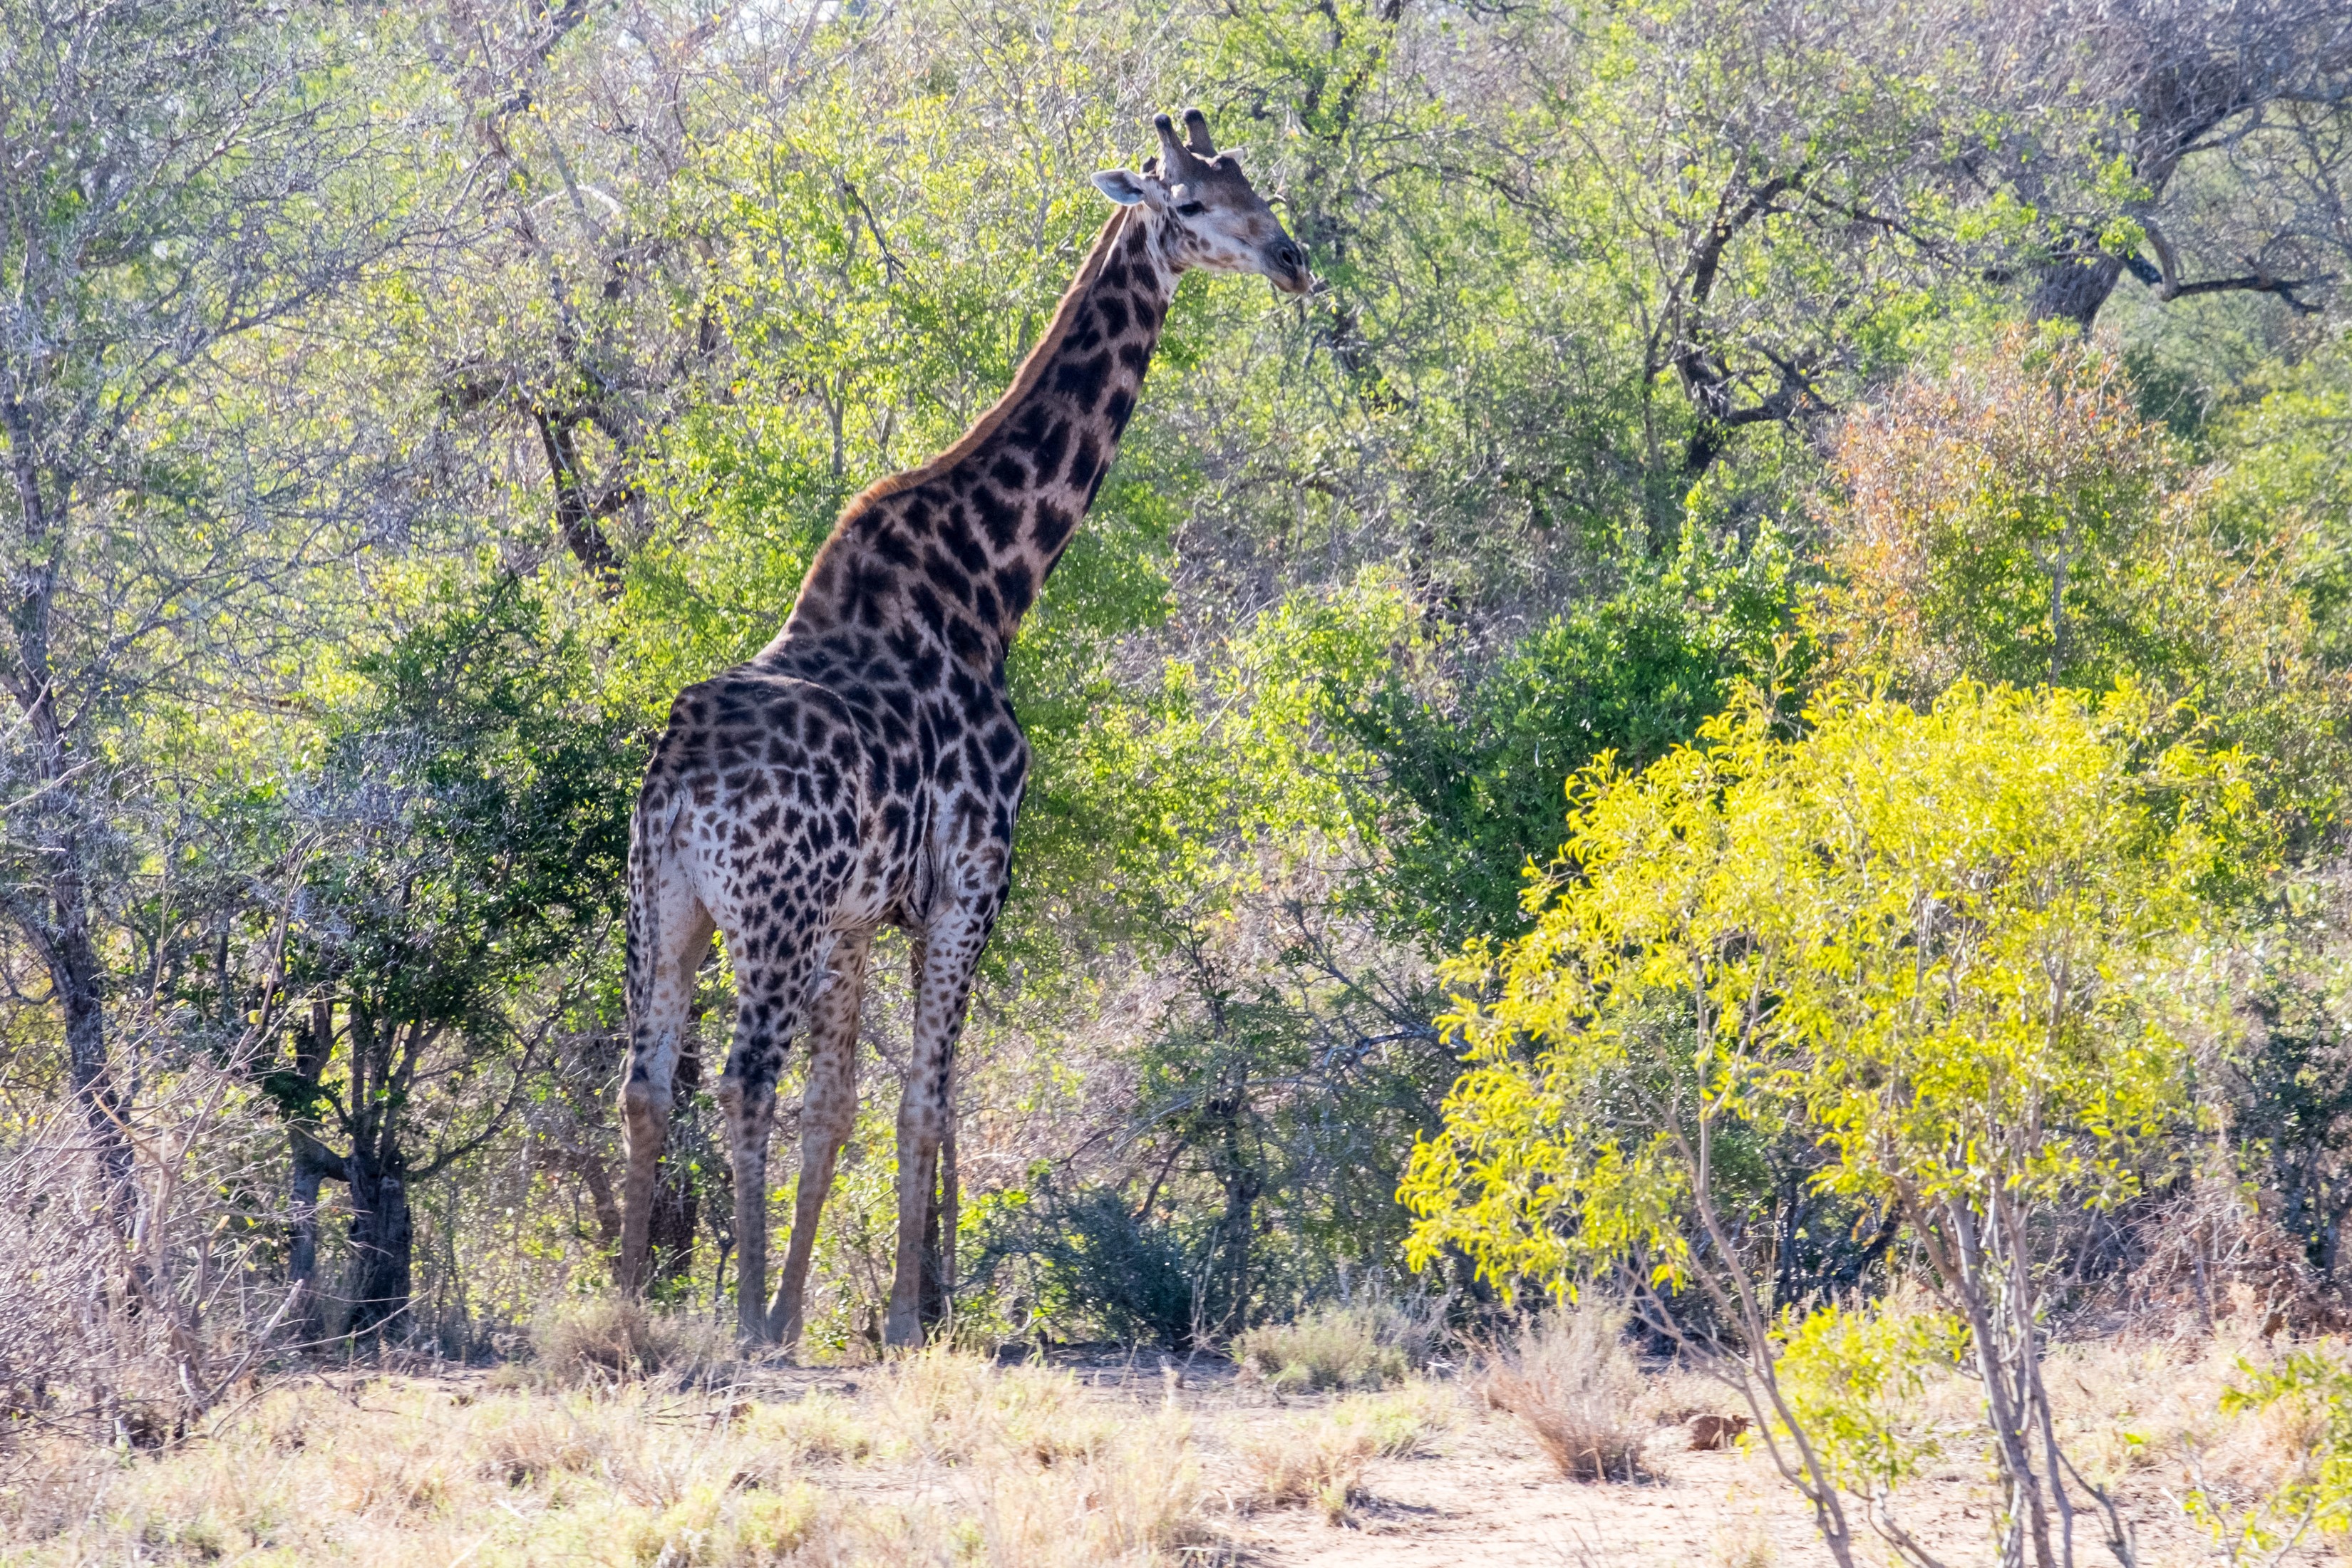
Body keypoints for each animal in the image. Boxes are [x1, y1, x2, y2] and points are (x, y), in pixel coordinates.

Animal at [618, 109, 1311, 1347]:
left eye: (1254, 187)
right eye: (1188, 204)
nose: (1292, 258)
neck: (991, 590)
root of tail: (680, 782)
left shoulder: (855, 915)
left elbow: (838, 1106)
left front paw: (799, 1315)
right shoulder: (970, 880)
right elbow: (924, 1105)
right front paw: (894, 1321)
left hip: (666, 907)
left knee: (648, 1085)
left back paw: (626, 1309)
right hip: (765, 913)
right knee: (743, 1076)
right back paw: (731, 1325)